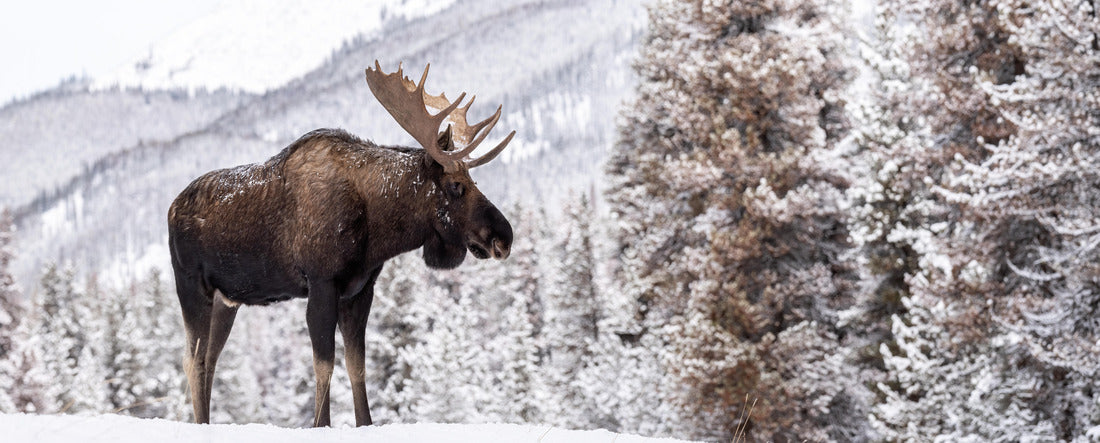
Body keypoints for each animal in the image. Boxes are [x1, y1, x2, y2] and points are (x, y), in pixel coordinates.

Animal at [167, 61, 515, 427]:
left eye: (472, 180)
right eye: (456, 186)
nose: (504, 237)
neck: (377, 227)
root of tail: (171, 208)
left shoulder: (360, 289)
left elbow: (356, 365)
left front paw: (364, 423)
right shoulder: (322, 283)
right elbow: (324, 366)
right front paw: (321, 424)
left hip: (227, 300)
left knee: (210, 359)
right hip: (192, 287)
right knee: (192, 360)